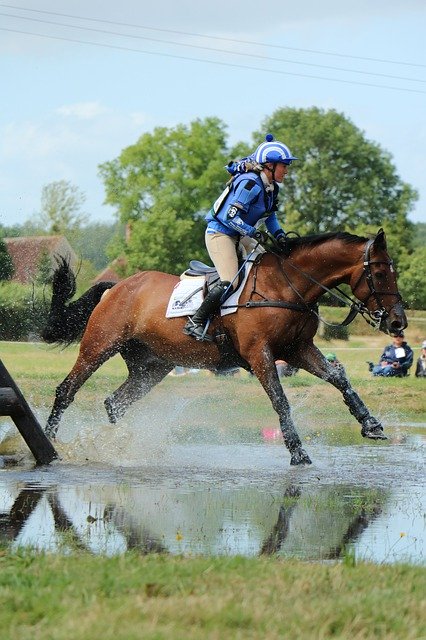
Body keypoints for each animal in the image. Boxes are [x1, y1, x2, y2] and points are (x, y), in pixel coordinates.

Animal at [42, 230, 406, 464]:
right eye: (379, 274)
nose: (397, 323)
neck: (287, 286)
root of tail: (116, 287)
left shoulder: (298, 349)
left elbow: (338, 378)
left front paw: (370, 424)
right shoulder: (260, 354)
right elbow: (280, 401)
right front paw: (298, 453)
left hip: (153, 367)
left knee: (115, 403)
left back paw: (120, 446)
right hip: (98, 347)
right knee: (67, 390)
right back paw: (49, 443)